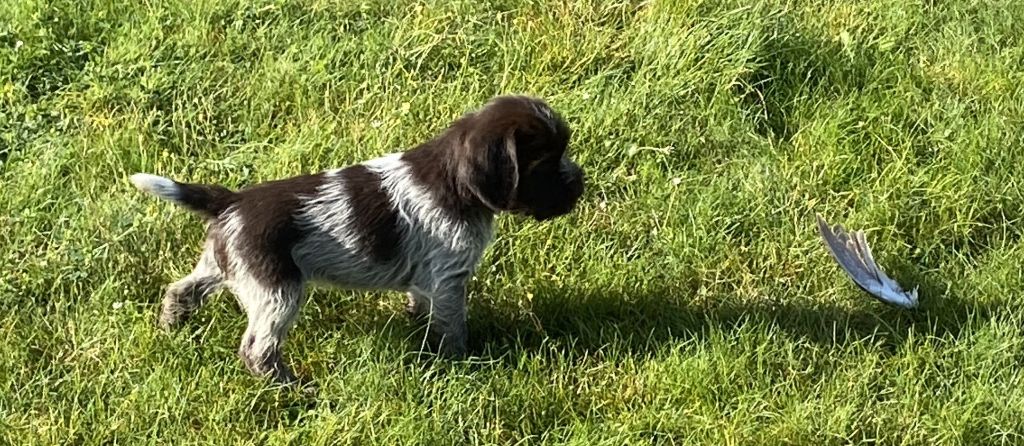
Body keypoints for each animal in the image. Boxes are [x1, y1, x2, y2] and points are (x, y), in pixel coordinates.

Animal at [129, 95, 584, 383]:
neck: (454, 180)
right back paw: (291, 386)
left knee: (181, 289)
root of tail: (232, 200)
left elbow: (423, 308)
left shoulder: (428, 280)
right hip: (276, 289)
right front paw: (460, 361)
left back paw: (171, 327)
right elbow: (451, 326)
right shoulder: (448, 278)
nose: (580, 184)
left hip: (223, 263)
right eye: (546, 163)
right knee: (257, 349)